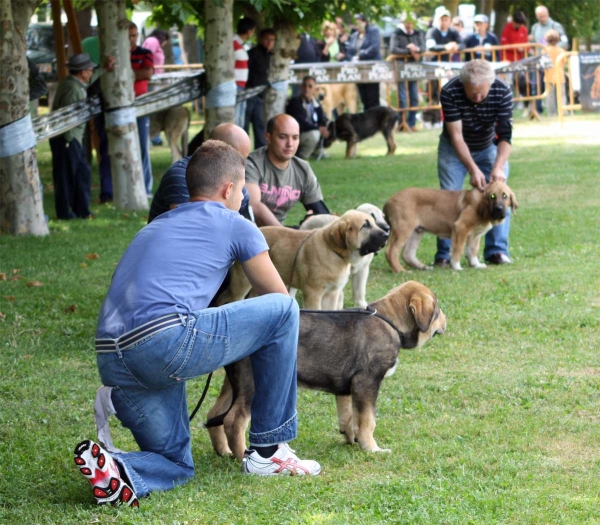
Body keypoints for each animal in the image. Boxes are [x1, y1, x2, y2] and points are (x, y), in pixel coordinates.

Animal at [206, 280, 446, 456]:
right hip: (253, 384)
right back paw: (241, 457)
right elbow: (368, 420)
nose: (446, 321)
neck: (389, 321)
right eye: (437, 308)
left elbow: (348, 416)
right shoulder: (367, 381)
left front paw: (351, 439)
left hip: (235, 384)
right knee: (234, 421)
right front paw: (372, 448)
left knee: (214, 415)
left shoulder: (347, 387)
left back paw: (224, 452)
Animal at [216, 209, 390, 310]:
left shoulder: (331, 294)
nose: (387, 235)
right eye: (365, 226)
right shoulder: (313, 293)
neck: (333, 251)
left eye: (374, 223)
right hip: (241, 284)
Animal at [384, 180, 520, 270]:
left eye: (505, 196)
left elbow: (473, 250)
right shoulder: (461, 227)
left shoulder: (475, 235)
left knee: (407, 254)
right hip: (403, 229)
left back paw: (423, 267)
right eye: (492, 196)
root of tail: (389, 201)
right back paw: (400, 270)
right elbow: (458, 249)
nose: (498, 209)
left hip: (417, 231)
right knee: (391, 251)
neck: (482, 207)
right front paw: (456, 267)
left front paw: (475, 264)